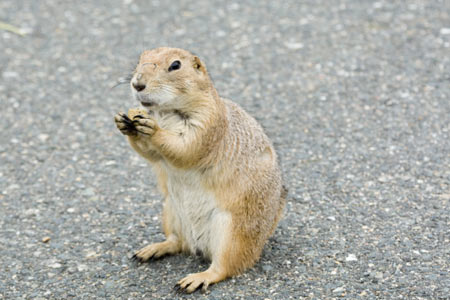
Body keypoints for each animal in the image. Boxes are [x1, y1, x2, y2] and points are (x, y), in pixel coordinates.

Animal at [114, 47, 286, 292]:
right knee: (177, 243)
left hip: (232, 233)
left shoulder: (208, 123)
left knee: (225, 266)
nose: (137, 84)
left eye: (175, 65)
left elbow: (185, 148)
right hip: (170, 212)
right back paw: (153, 249)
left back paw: (197, 278)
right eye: (140, 59)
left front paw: (153, 129)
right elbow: (151, 154)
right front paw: (123, 121)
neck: (166, 113)